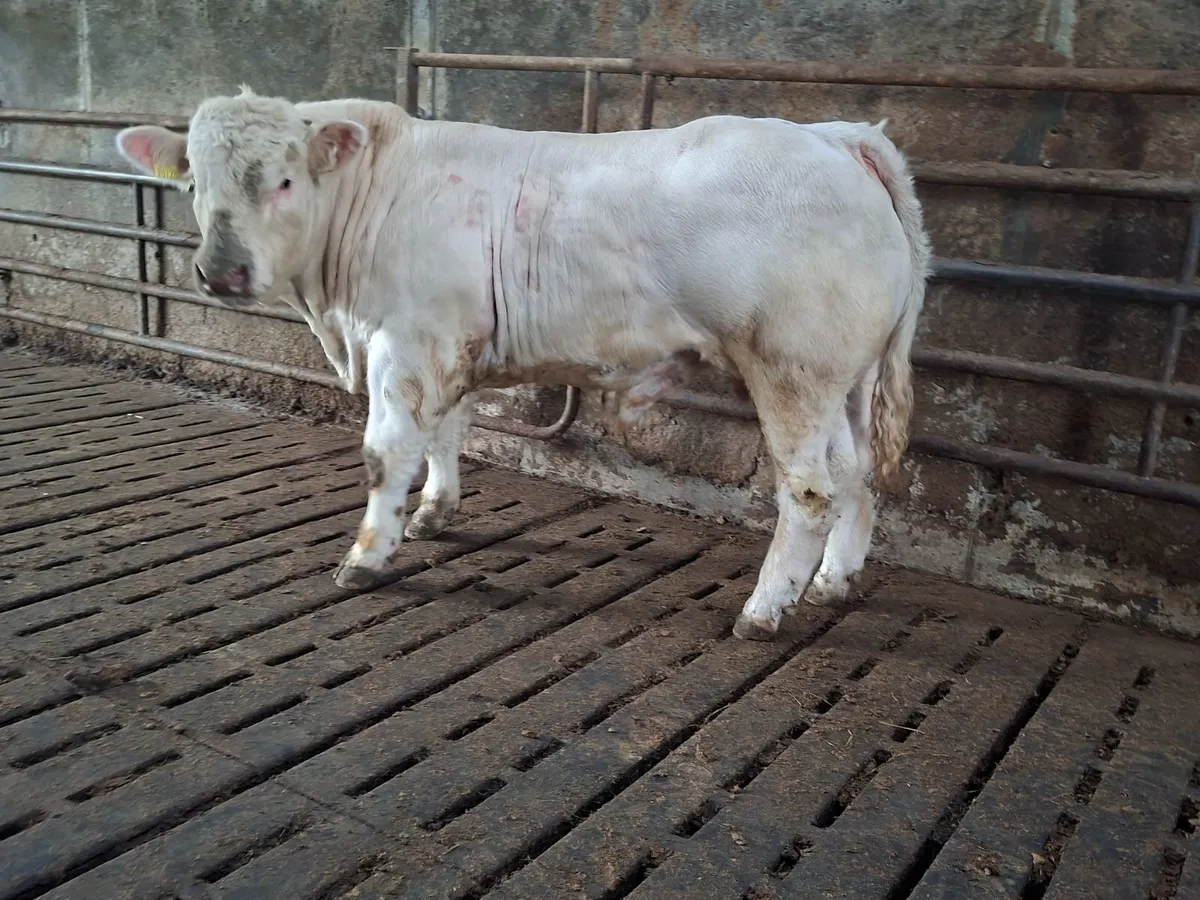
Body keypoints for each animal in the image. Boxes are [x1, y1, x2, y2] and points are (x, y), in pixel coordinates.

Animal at [116, 87, 930, 640]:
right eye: (194, 184)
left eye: (283, 181)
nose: (220, 272)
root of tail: (838, 137)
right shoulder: (451, 342)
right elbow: (447, 433)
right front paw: (434, 511)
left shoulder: (407, 340)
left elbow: (388, 453)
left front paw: (368, 553)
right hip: (851, 379)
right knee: (858, 474)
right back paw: (833, 581)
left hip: (795, 371)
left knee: (811, 491)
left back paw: (764, 609)